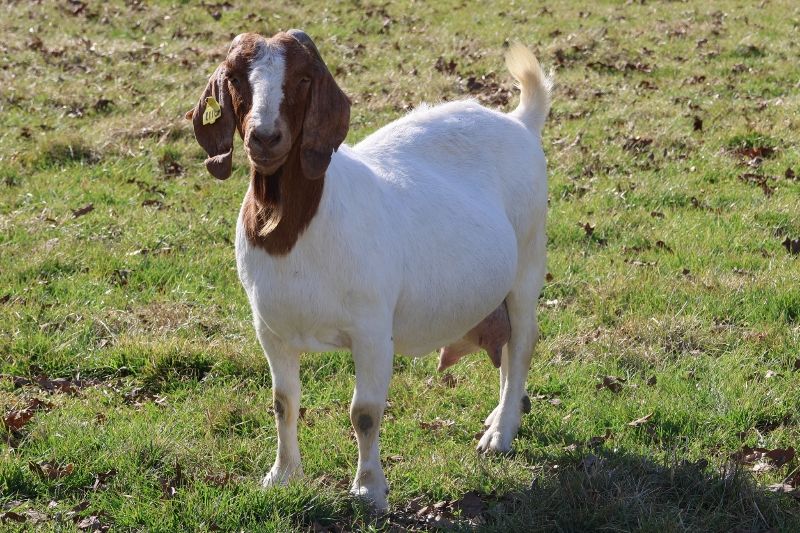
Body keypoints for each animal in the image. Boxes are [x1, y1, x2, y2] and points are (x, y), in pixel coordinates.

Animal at [186, 30, 551, 511]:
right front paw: (281, 476)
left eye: (304, 78)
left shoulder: (373, 330)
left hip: (528, 261)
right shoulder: (271, 329)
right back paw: (499, 417)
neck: (295, 231)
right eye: (233, 78)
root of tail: (520, 122)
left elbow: (364, 412)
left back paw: (500, 434)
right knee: (507, 348)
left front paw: (369, 490)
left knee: (523, 342)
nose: (265, 137)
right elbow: (283, 401)